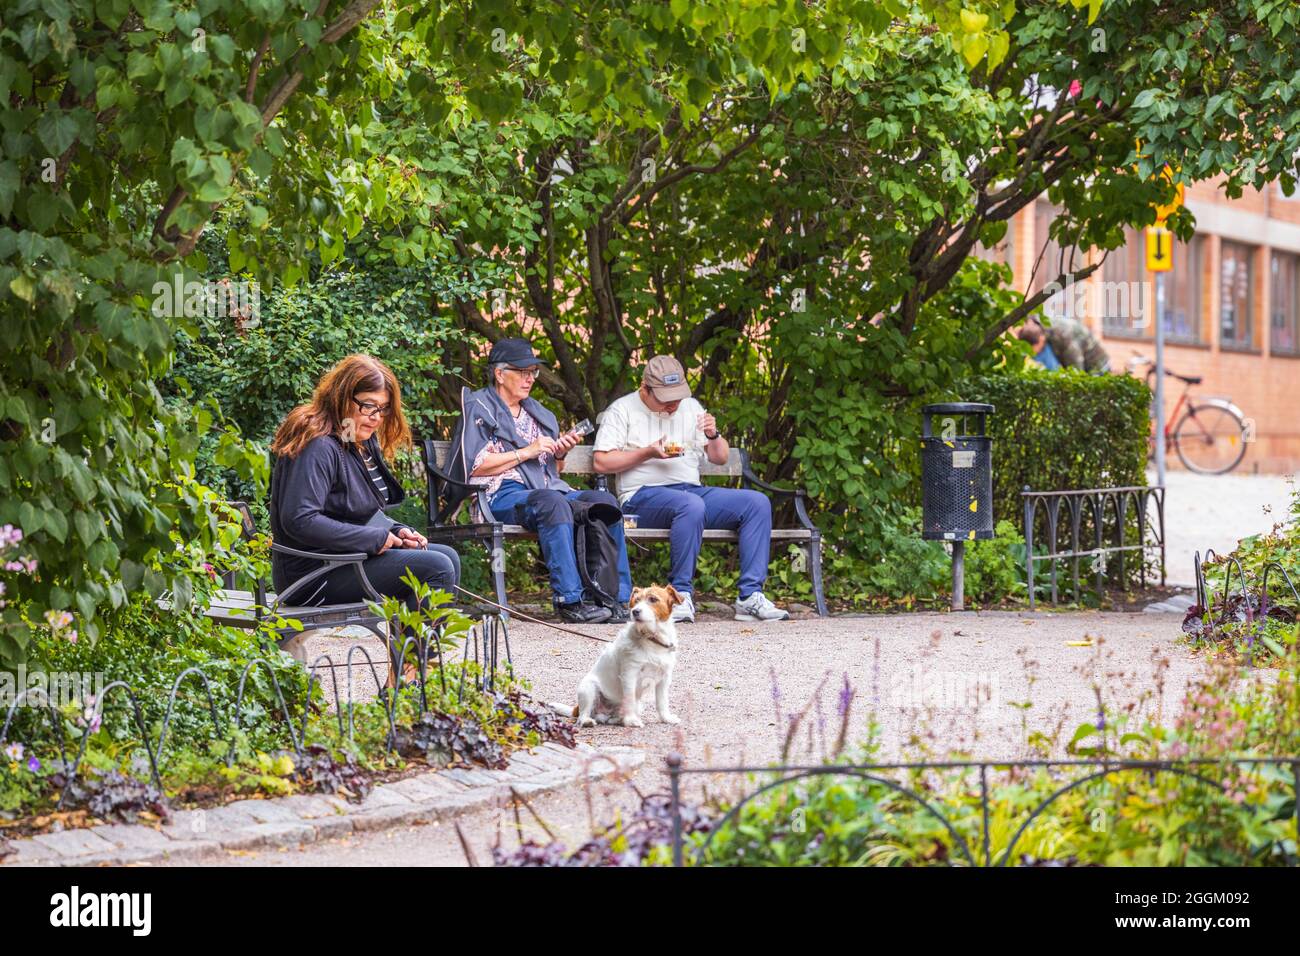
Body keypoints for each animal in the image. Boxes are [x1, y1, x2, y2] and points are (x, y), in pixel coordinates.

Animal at [577, 582, 686, 723]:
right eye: (636, 601)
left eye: (653, 599)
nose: (635, 611)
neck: (652, 639)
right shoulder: (629, 674)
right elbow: (629, 698)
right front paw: (630, 720)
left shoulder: (664, 678)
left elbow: (662, 702)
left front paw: (666, 718)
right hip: (588, 689)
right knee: (584, 713)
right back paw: (587, 721)